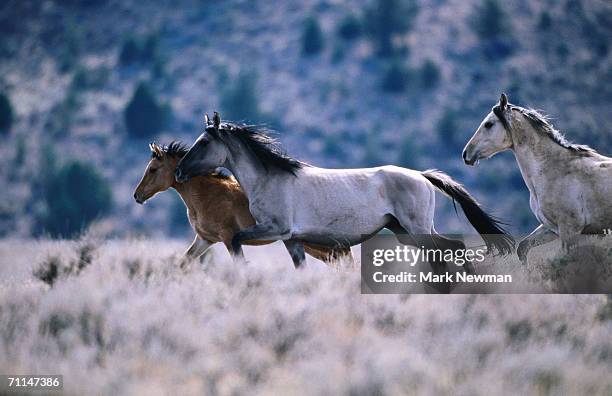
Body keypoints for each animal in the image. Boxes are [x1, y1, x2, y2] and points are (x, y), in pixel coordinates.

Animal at [175, 112, 512, 270]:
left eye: (204, 142)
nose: (179, 171)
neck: (270, 179)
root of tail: (421, 176)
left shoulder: (275, 229)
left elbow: (234, 241)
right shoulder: (292, 239)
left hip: (416, 228)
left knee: (448, 249)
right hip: (405, 230)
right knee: (448, 249)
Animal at [464, 94, 612, 262]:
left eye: (488, 124)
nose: (466, 153)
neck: (555, 170)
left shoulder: (570, 230)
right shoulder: (550, 228)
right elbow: (523, 248)